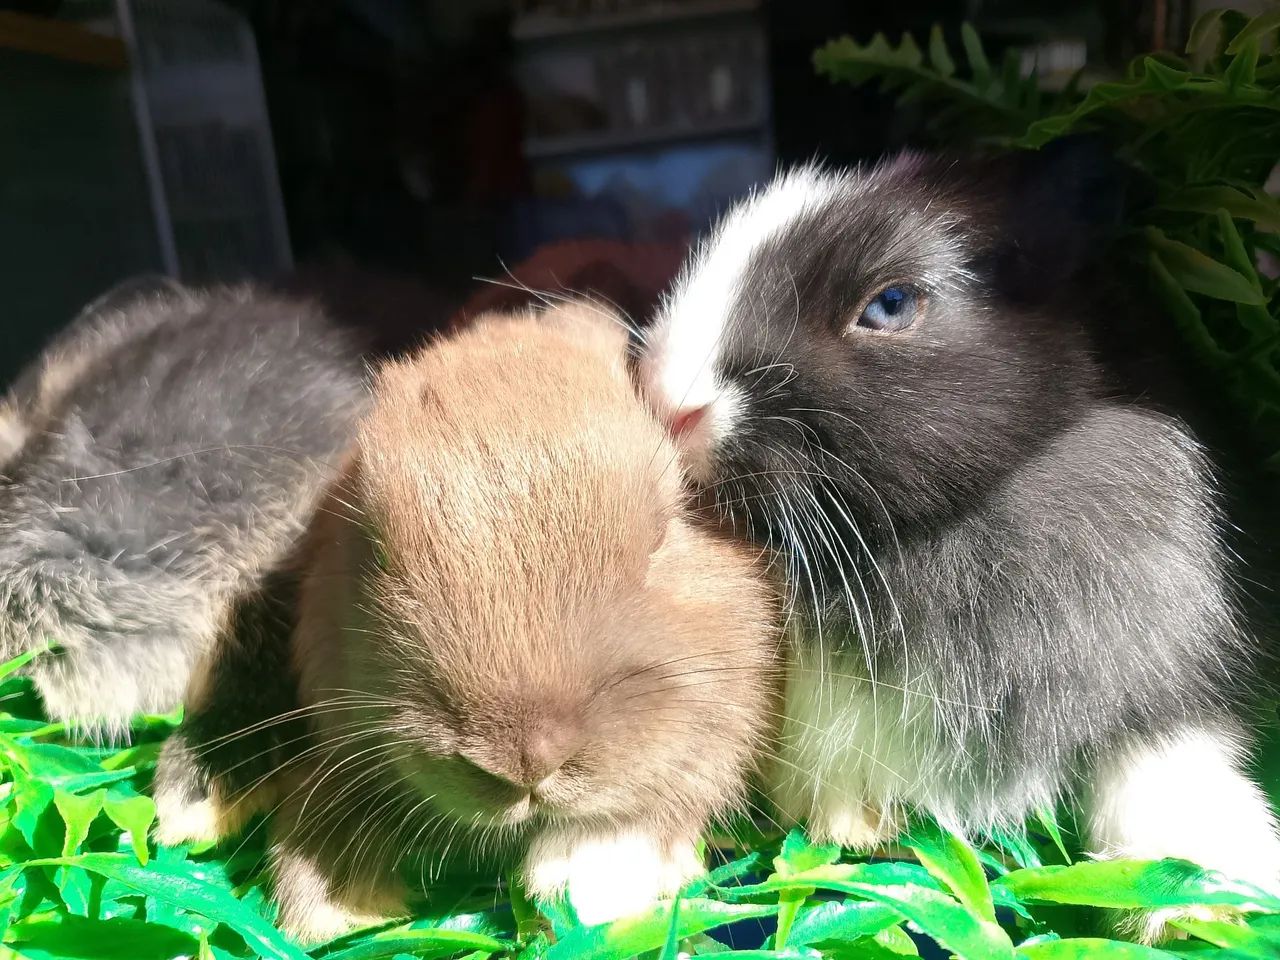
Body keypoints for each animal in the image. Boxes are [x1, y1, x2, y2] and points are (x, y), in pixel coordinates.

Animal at [154, 301, 781, 944]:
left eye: (664, 530)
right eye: (372, 547)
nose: (526, 763)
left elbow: (701, 766)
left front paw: (587, 869)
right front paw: (329, 899)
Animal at [636, 146, 1280, 941]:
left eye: (891, 303)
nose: (671, 405)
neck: (926, 542)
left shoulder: (1163, 649)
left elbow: (1163, 759)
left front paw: (1205, 895)